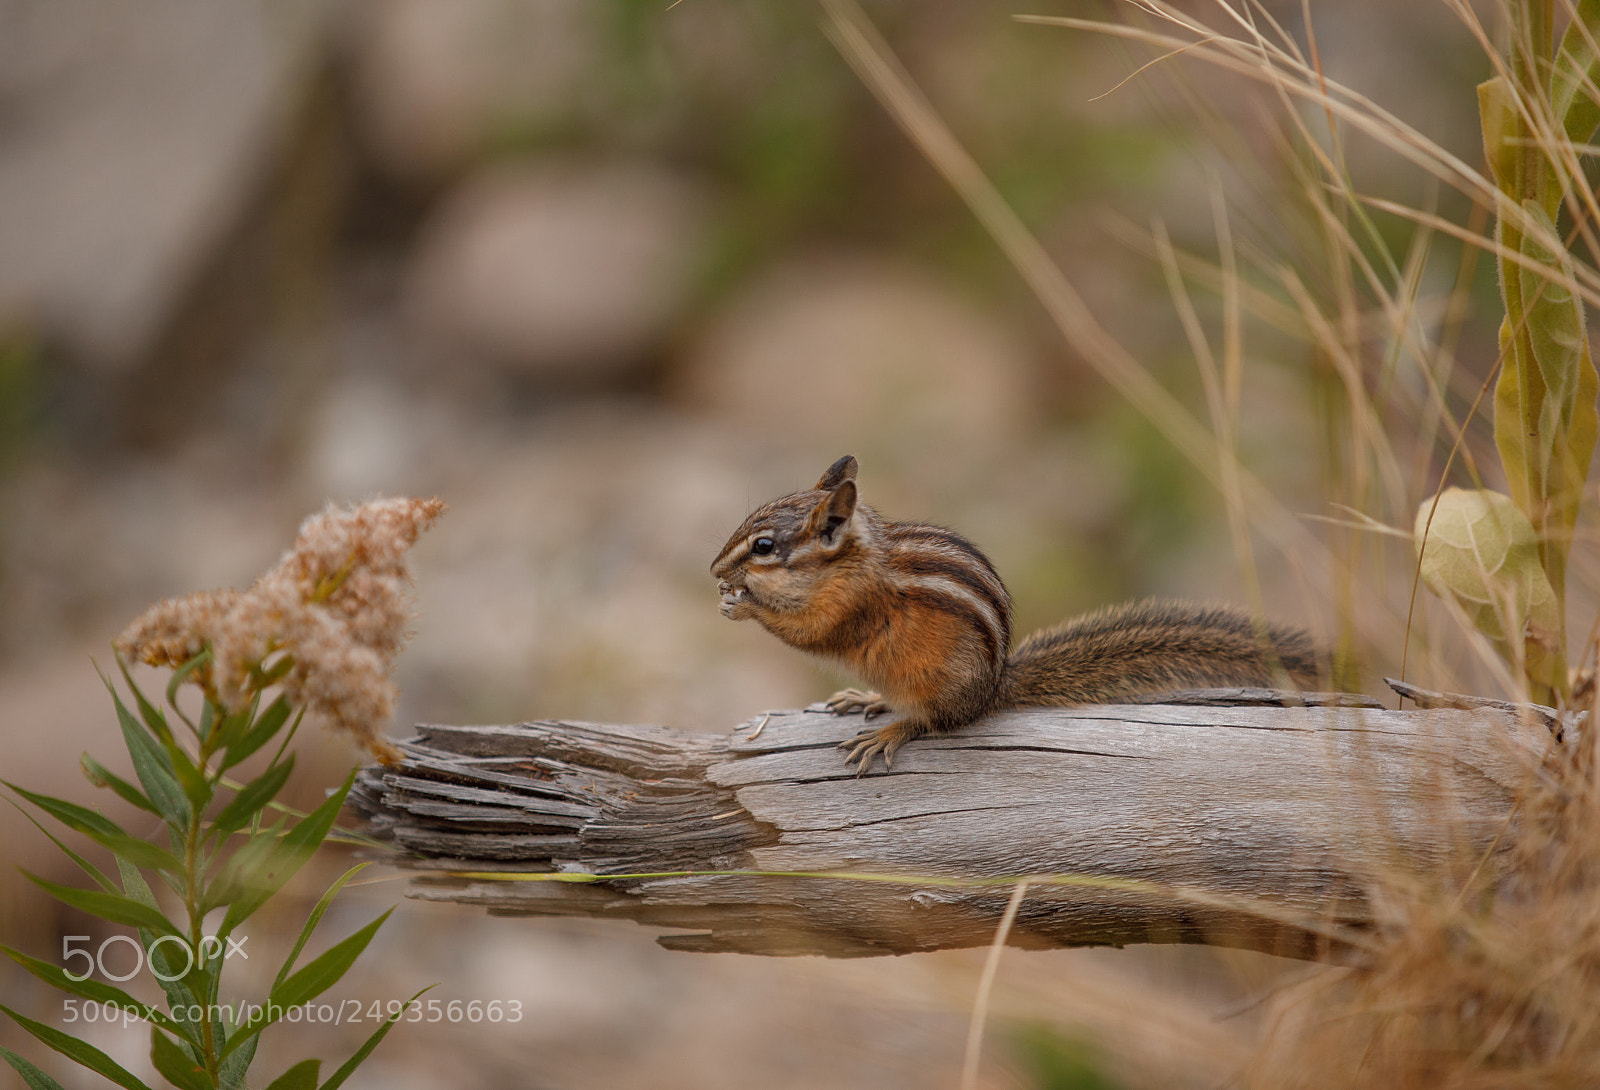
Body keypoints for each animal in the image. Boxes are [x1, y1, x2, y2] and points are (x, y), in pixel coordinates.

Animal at [711, 454, 1322, 772]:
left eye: (763, 547)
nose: (715, 567)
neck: (852, 560)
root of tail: (993, 687)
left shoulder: (851, 605)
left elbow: (812, 631)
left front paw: (743, 605)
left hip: (938, 682)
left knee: (937, 721)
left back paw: (891, 730)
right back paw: (868, 698)